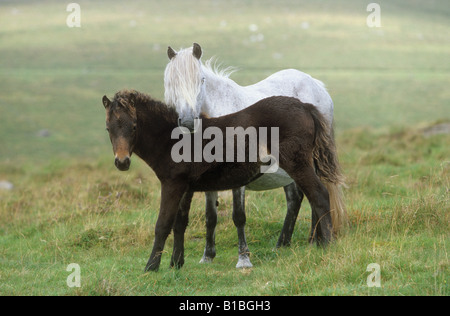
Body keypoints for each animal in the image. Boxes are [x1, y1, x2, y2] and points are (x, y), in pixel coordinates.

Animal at [103, 89, 348, 272]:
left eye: (134, 126)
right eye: (108, 128)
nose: (122, 162)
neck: (174, 139)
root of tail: (305, 106)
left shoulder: (172, 185)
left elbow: (162, 224)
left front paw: (151, 267)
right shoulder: (185, 187)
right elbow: (180, 223)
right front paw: (176, 264)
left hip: (297, 164)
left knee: (319, 195)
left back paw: (327, 245)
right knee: (314, 198)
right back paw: (316, 243)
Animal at [163, 42, 346, 270]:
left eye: (201, 80)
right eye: (171, 82)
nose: (188, 122)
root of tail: (316, 85)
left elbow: (238, 216)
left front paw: (243, 259)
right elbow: (210, 217)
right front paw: (208, 256)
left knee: (316, 195)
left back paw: (314, 242)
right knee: (296, 199)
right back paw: (285, 244)